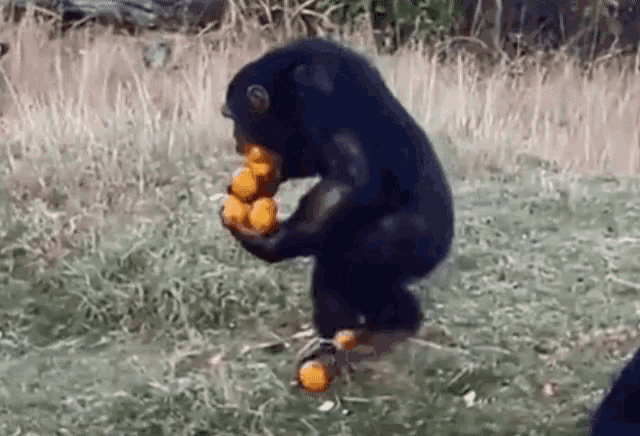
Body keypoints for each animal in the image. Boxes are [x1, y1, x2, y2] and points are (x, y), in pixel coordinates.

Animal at [220, 37, 454, 367]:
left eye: (232, 118)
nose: (236, 139)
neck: (284, 85)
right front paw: (263, 180)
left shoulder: (316, 92)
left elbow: (350, 177)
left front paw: (271, 243)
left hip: (413, 240)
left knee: (344, 266)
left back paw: (380, 331)